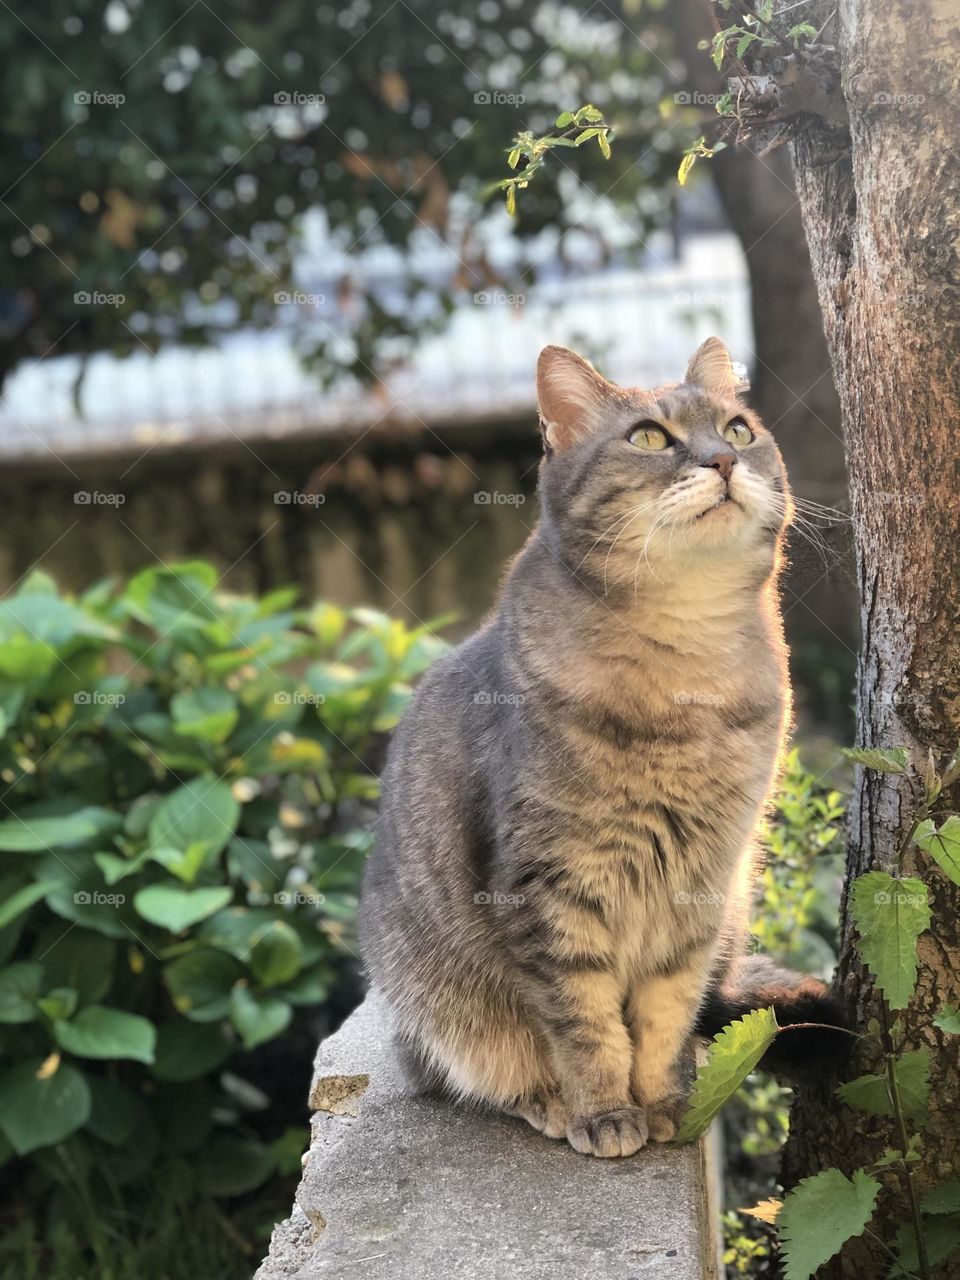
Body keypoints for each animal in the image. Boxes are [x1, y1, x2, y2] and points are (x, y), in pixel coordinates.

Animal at [360, 340, 849, 1162]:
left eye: (739, 429)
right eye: (649, 437)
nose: (723, 459)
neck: (688, 674)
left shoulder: (702, 885)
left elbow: (666, 1011)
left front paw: (662, 1100)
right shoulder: (548, 889)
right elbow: (584, 1022)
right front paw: (605, 1110)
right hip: (433, 999)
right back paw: (548, 1101)